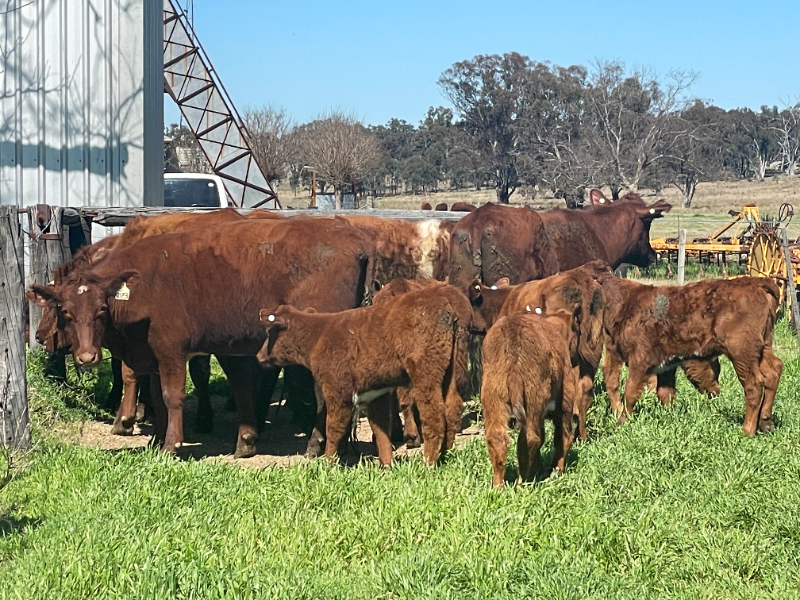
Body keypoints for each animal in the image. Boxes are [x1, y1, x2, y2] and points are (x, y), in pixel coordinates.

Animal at [28, 216, 375, 458]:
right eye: (65, 311)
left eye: (102, 310)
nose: (87, 356)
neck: (143, 286)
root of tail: (352, 235)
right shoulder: (154, 355)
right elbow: (156, 397)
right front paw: (156, 440)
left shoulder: (170, 350)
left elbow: (171, 396)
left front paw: (170, 445)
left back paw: (318, 444)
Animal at [257, 284, 472, 465]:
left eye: (270, 332)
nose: (259, 356)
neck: (318, 335)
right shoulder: (377, 392)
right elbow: (381, 428)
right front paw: (387, 465)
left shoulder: (338, 391)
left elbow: (334, 428)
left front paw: (328, 463)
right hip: (452, 370)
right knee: (453, 408)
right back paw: (444, 455)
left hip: (425, 374)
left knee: (434, 414)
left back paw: (428, 463)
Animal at [481, 309, 581, 487]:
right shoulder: (565, 400)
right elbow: (563, 436)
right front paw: (555, 471)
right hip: (533, 397)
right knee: (531, 438)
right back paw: (521, 483)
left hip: (493, 394)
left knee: (497, 436)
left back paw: (498, 486)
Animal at [597, 273, 783, 435]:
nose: (716, 392)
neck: (628, 304)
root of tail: (757, 283)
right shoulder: (666, 365)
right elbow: (665, 392)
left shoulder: (640, 360)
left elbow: (630, 392)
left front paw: (622, 421)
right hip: (763, 348)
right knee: (773, 371)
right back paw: (766, 421)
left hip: (742, 353)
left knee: (754, 385)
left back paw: (747, 430)